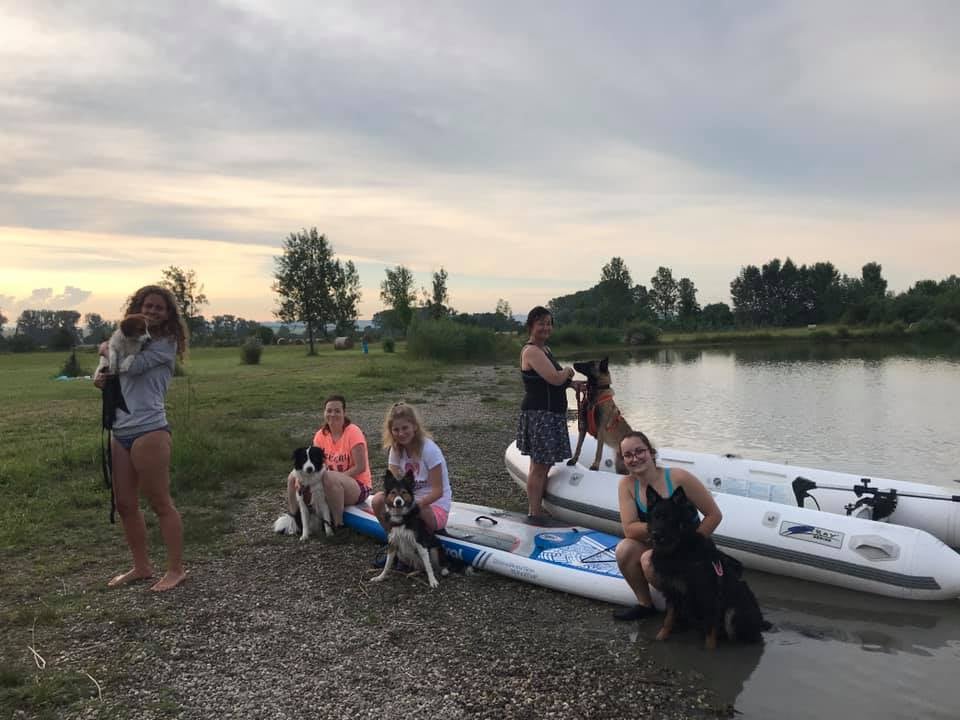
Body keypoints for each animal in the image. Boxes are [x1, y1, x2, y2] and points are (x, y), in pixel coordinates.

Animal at [647, 485, 770, 649]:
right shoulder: (671, 591)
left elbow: (711, 631)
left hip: (734, 611)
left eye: (670, 518)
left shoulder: (709, 596)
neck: (678, 550)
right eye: (655, 516)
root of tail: (761, 622)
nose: (655, 534)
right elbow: (669, 618)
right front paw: (662, 635)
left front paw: (709, 649)